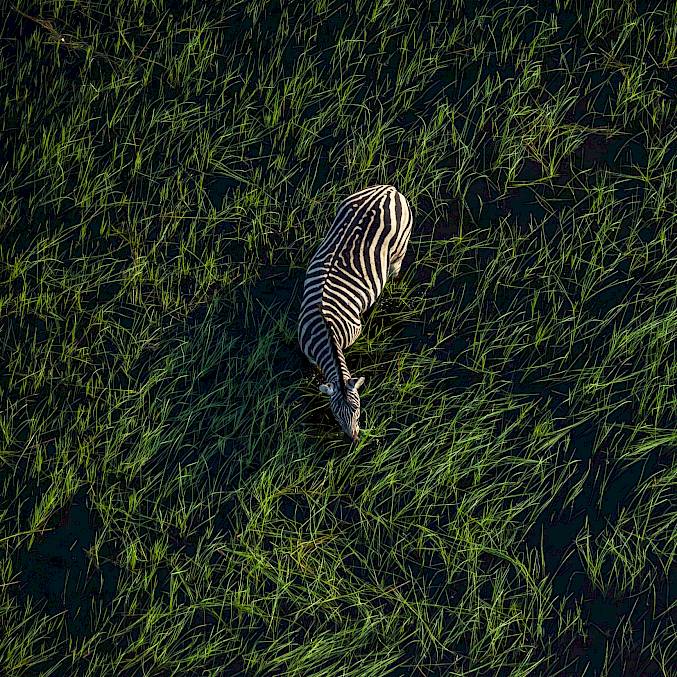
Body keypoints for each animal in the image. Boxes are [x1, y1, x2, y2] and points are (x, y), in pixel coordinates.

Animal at [298, 184, 413, 441]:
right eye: (335, 415)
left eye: (359, 410)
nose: (354, 440)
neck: (326, 329)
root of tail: (388, 189)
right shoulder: (310, 356)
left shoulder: (353, 334)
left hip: (399, 251)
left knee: (395, 272)